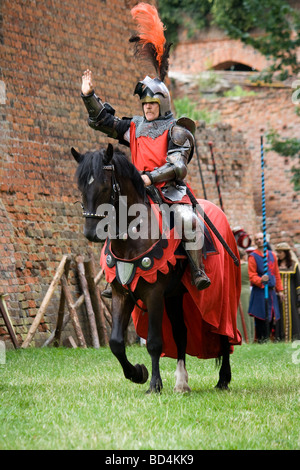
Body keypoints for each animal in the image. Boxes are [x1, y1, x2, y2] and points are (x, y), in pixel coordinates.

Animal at [72, 144, 241, 392]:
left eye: (104, 185)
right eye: (81, 186)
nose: (91, 232)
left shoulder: (153, 294)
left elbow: (153, 342)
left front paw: (154, 384)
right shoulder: (121, 293)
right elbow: (115, 342)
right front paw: (137, 373)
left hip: (219, 298)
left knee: (224, 334)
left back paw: (223, 379)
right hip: (175, 295)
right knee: (181, 333)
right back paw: (181, 383)